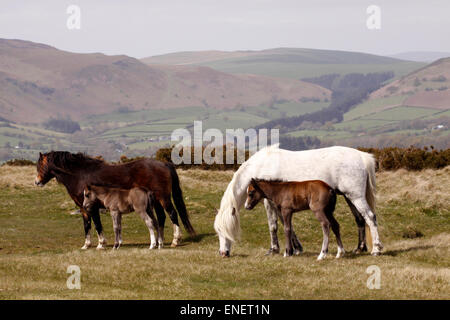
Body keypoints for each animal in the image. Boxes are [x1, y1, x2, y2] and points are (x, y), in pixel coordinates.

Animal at [34, 152, 196, 250]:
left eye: (41, 165)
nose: (37, 182)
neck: (80, 175)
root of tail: (164, 164)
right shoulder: (83, 207)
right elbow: (87, 225)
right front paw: (86, 245)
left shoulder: (92, 207)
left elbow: (97, 224)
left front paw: (101, 244)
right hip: (155, 201)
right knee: (161, 217)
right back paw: (160, 241)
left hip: (163, 198)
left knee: (172, 214)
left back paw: (175, 240)